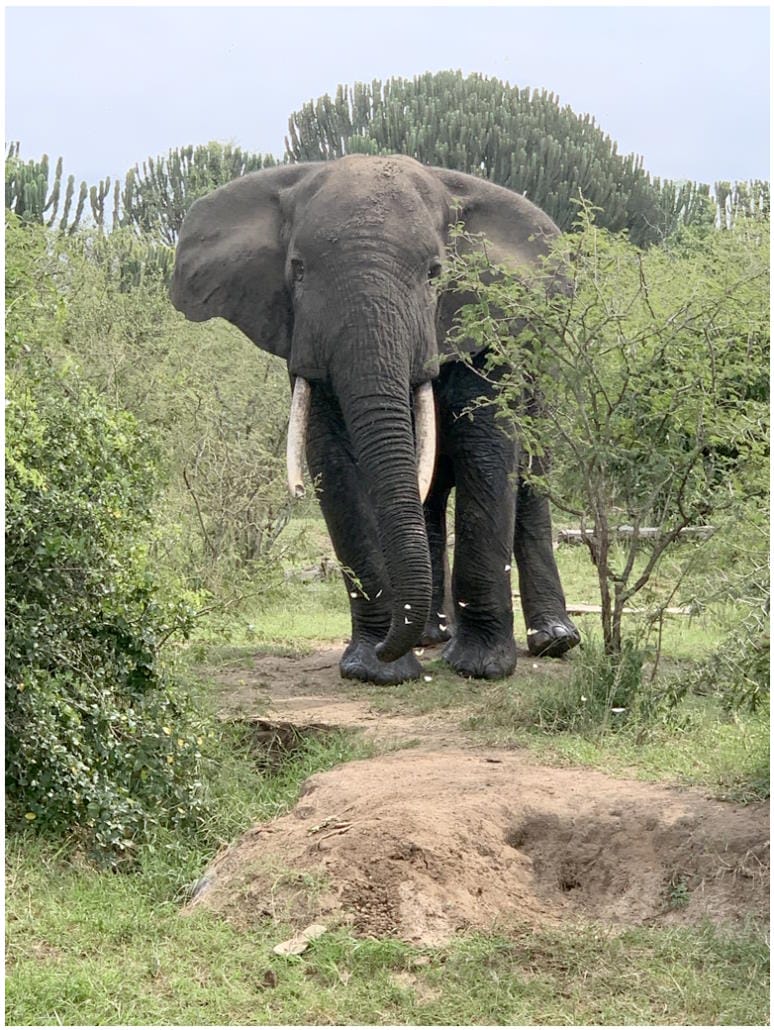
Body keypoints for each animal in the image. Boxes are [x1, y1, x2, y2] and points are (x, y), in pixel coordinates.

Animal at [171, 154, 580, 684]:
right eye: (297, 270)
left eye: (434, 274)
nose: (388, 647)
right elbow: (333, 459)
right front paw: (376, 669)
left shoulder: (486, 324)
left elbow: (487, 449)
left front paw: (481, 668)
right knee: (428, 496)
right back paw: (427, 636)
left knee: (529, 477)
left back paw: (553, 640)